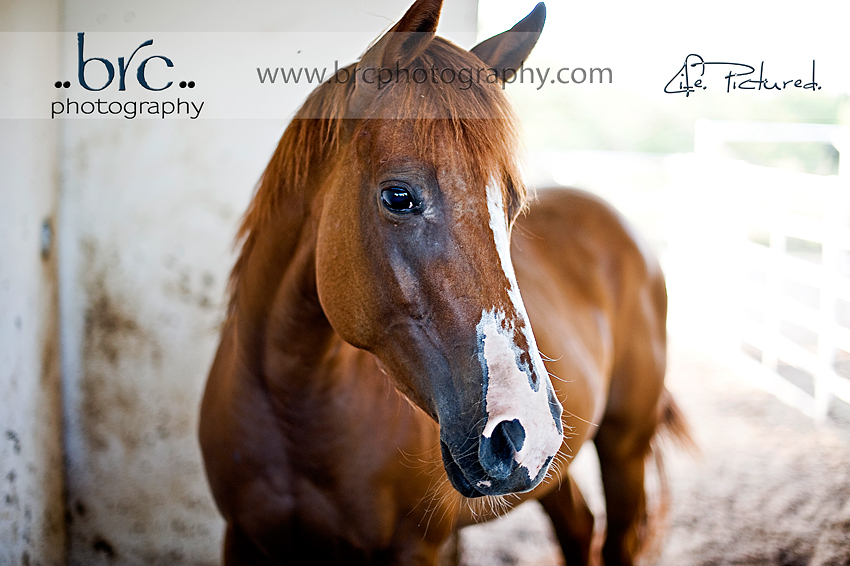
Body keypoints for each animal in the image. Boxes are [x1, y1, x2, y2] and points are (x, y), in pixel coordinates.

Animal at [199, 1, 691, 564]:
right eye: (398, 196)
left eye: (513, 205)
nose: (523, 433)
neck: (293, 406)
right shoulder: (241, 538)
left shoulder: (418, 547)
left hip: (625, 447)